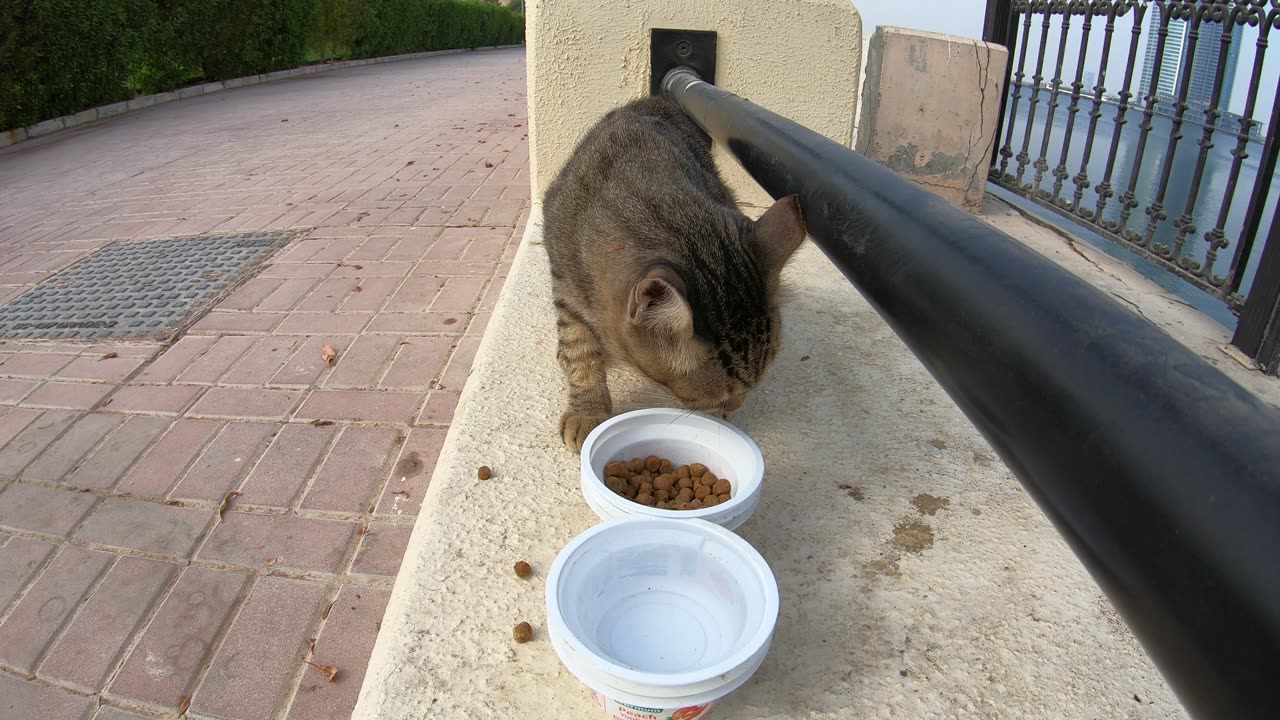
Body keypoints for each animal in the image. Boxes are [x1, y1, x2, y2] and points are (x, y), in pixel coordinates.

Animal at [542, 96, 803, 448]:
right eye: (722, 395)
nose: (736, 405)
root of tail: (655, 99)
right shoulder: (563, 282)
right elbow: (578, 346)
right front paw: (588, 410)